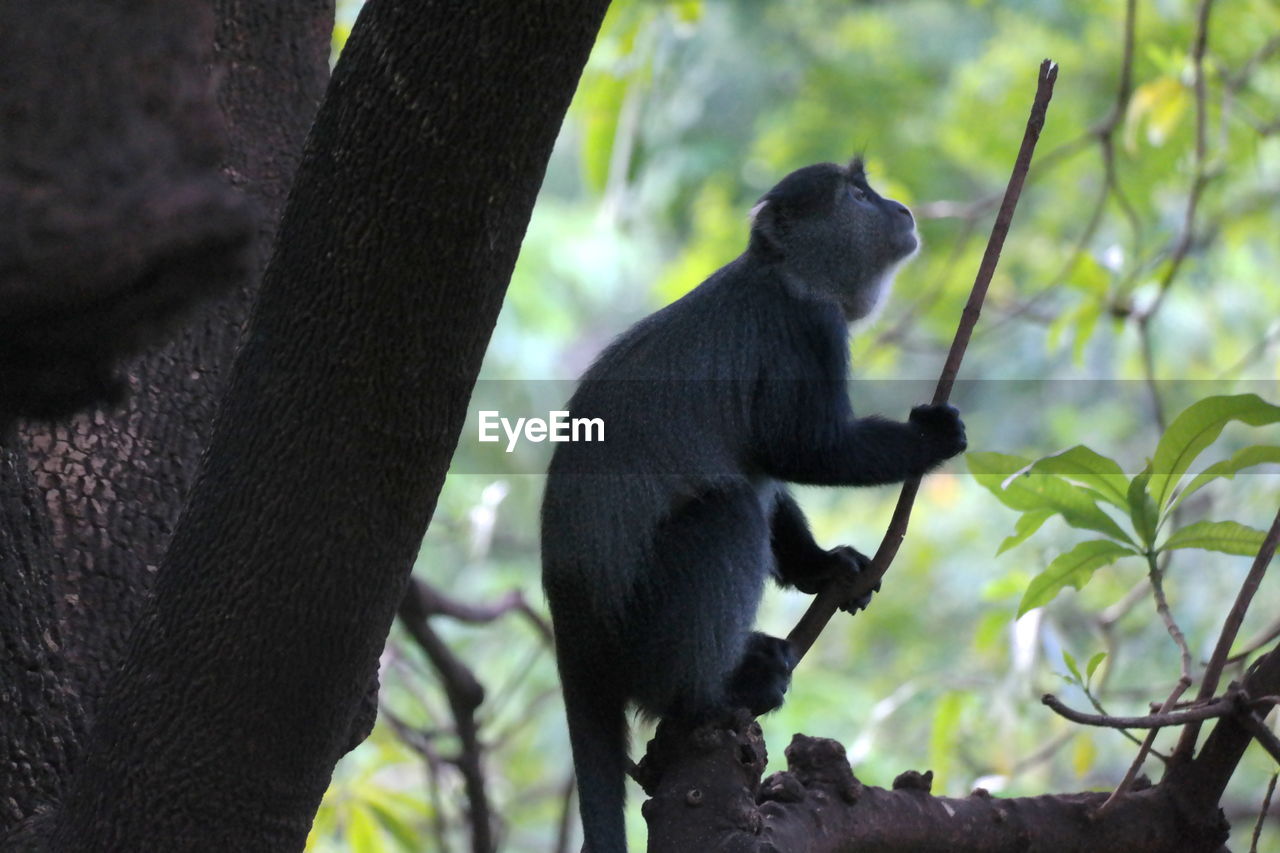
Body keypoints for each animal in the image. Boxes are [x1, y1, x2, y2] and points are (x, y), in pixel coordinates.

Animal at [540, 156, 967, 845]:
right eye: (856, 195)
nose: (900, 209)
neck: (782, 271)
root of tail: (573, 633)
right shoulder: (805, 330)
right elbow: (803, 448)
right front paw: (928, 439)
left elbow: (769, 471)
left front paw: (827, 565)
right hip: (640, 631)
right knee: (729, 511)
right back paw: (713, 691)